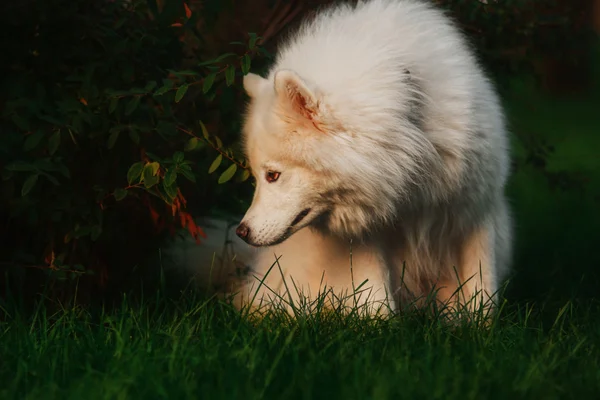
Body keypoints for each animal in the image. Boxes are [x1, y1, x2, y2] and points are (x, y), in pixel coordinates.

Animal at [220, 0, 510, 318]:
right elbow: (376, 294)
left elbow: (483, 287)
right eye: (259, 177)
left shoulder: (475, 211)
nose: (242, 231)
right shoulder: (367, 235)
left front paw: (482, 325)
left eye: (273, 175)